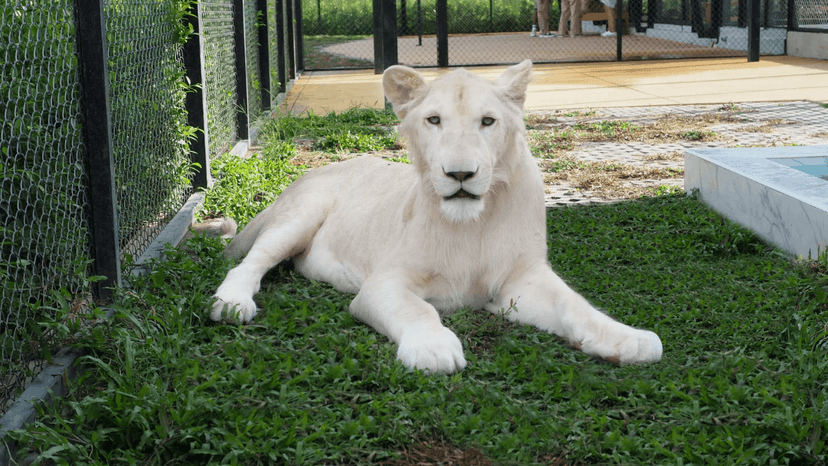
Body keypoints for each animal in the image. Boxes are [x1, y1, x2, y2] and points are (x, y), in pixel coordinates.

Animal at [210, 60, 663, 373]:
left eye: (487, 121)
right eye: (434, 120)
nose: (460, 174)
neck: (474, 224)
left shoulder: (520, 280)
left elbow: (576, 306)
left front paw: (629, 340)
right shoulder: (382, 283)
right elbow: (417, 310)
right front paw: (433, 348)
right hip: (299, 216)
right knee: (249, 263)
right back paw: (232, 303)